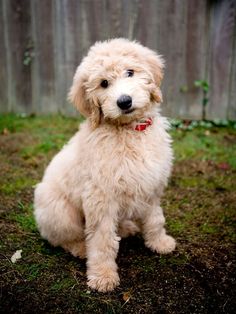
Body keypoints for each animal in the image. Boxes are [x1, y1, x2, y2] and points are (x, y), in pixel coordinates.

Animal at [34, 38, 176, 292]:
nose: (124, 101)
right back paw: (81, 248)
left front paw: (159, 242)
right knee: (64, 238)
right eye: (103, 83)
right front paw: (103, 276)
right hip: (58, 211)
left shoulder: (152, 186)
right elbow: (102, 241)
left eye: (130, 72)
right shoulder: (100, 197)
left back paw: (126, 227)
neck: (129, 131)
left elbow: (155, 219)